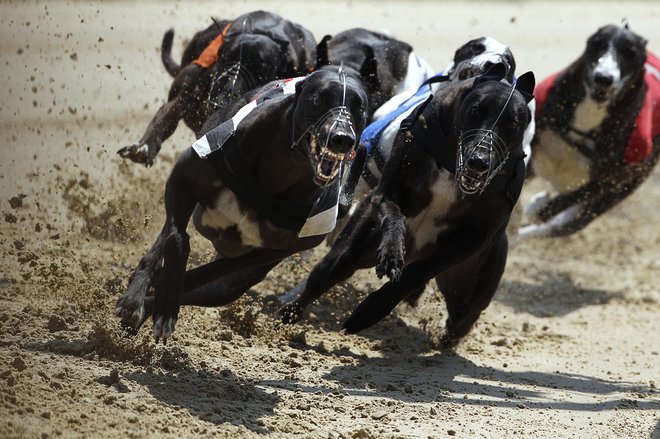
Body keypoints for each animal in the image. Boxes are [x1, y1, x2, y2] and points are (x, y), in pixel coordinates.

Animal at [113, 62, 372, 344]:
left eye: (360, 109)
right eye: (317, 99)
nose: (342, 137)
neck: (285, 168)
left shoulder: (271, 251)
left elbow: (201, 274)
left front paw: (163, 300)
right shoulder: (182, 181)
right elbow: (176, 237)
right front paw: (151, 296)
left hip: (229, 287)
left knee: (209, 286)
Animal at [117, 12, 318, 167]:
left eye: (261, 69)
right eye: (225, 57)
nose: (219, 102)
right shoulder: (184, 95)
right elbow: (167, 115)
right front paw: (144, 148)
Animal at [276, 65, 532, 348]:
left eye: (512, 124)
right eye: (475, 111)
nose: (479, 160)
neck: (451, 165)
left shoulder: (473, 240)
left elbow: (416, 274)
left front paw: (369, 311)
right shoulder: (387, 189)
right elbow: (393, 213)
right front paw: (391, 253)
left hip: (469, 285)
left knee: (461, 318)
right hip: (355, 247)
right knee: (327, 272)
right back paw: (287, 314)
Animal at [516, 23, 660, 241]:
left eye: (631, 53)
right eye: (597, 44)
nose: (603, 78)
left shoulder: (612, 180)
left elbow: (564, 201)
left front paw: (538, 207)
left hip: (602, 203)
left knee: (555, 227)